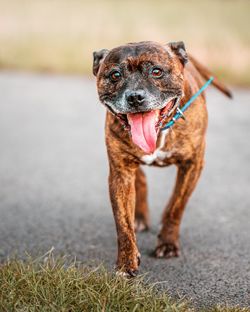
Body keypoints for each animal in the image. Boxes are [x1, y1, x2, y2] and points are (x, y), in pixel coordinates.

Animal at [93, 40, 231, 276]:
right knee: (140, 179)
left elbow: (176, 206)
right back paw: (140, 217)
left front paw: (167, 243)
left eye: (156, 71)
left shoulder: (192, 165)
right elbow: (122, 221)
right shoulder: (120, 172)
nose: (135, 97)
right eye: (115, 75)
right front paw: (126, 261)